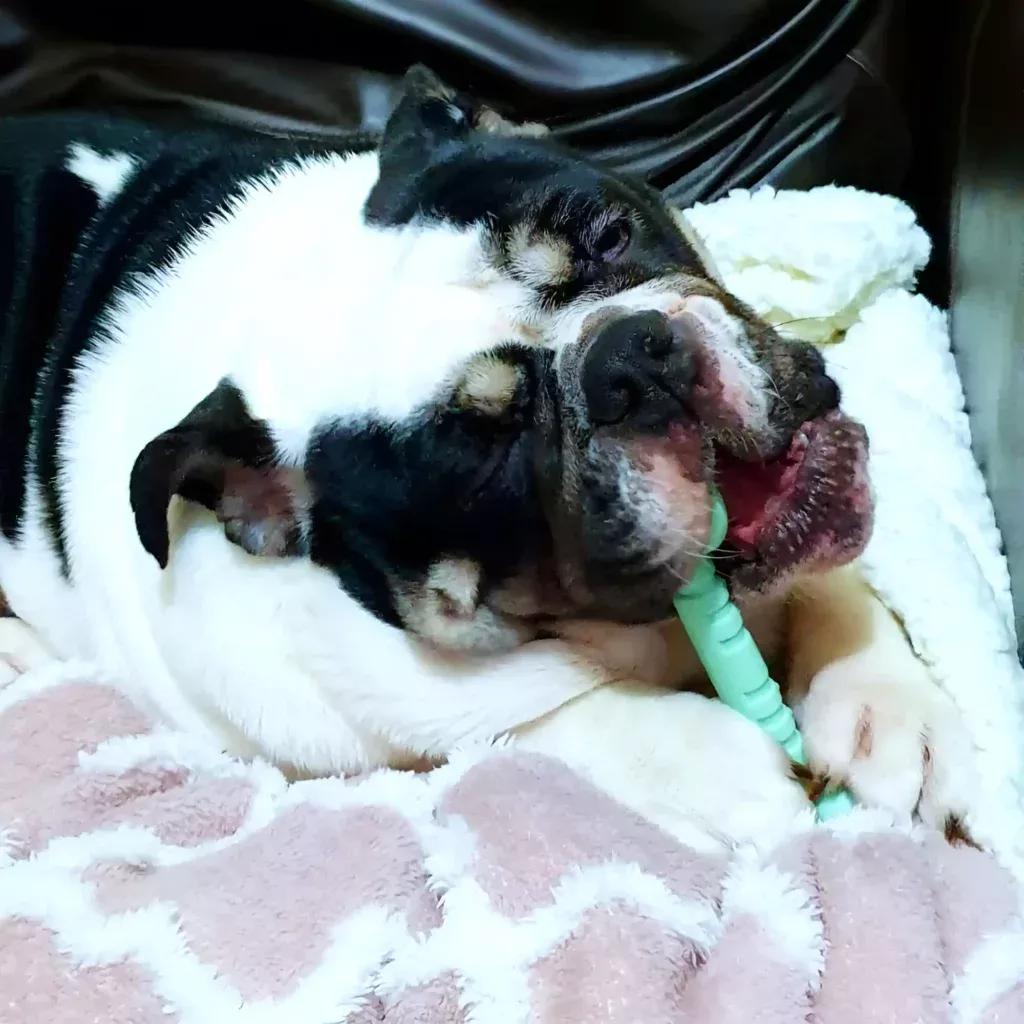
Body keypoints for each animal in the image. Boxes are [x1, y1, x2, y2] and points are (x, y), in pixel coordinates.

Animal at [0, 68, 970, 843]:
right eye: (485, 453)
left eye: (611, 235)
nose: (628, 358)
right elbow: (517, 720)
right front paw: (709, 764)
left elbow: (833, 568)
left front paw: (882, 698)